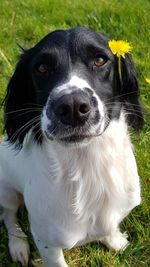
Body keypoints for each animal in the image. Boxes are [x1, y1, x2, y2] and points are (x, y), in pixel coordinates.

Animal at [0, 28, 143, 266]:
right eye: (42, 67)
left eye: (100, 60)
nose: (73, 106)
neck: (89, 166)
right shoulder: (46, 240)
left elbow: (108, 227)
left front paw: (114, 240)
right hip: (7, 191)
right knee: (9, 216)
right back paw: (18, 245)